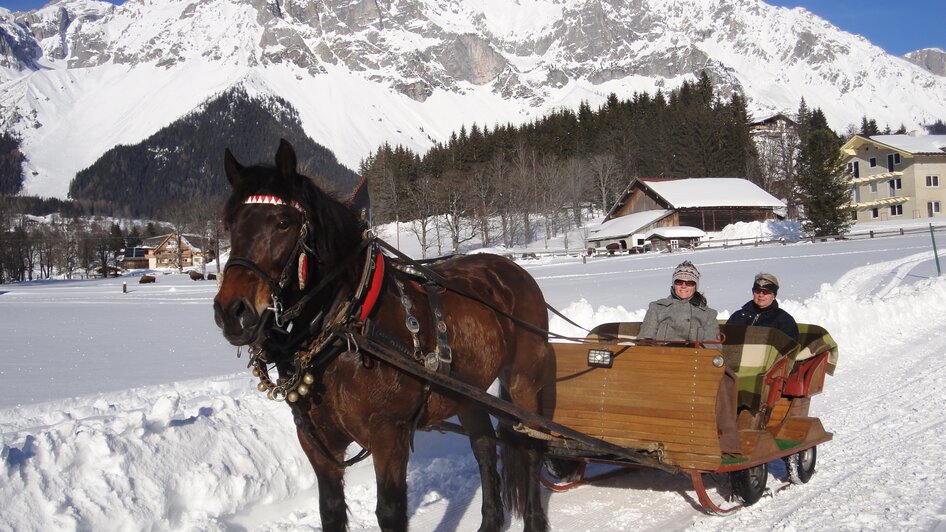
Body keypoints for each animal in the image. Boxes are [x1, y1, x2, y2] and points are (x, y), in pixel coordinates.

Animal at [212, 139, 552, 528]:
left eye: (283, 222)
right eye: (230, 224)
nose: (231, 312)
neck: (346, 329)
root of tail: (512, 270)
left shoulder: (389, 432)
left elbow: (390, 511)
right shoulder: (317, 441)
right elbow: (330, 510)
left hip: (523, 379)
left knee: (530, 446)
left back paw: (535, 520)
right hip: (468, 392)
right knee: (483, 445)